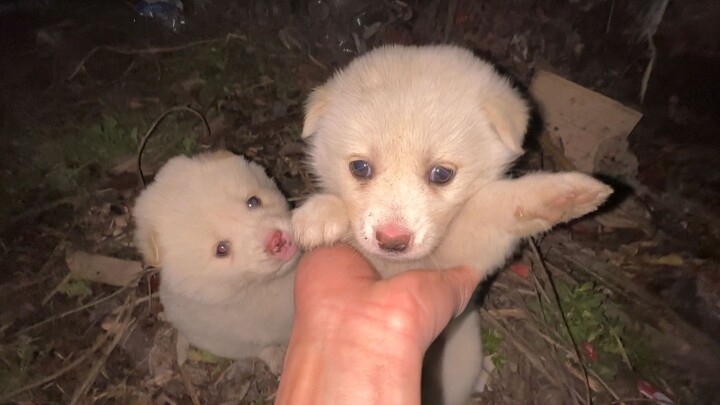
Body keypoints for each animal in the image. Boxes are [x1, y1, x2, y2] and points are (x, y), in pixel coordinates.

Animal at [134, 150, 300, 374]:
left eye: (253, 201)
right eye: (221, 249)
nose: (276, 240)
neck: (263, 288)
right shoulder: (224, 340)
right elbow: (260, 348)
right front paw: (278, 360)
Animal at [292, 45, 612, 404]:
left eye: (442, 174)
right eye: (360, 168)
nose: (392, 241)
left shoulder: (473, 248)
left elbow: (495, 204)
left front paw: (564, 195)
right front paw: (319, 213)